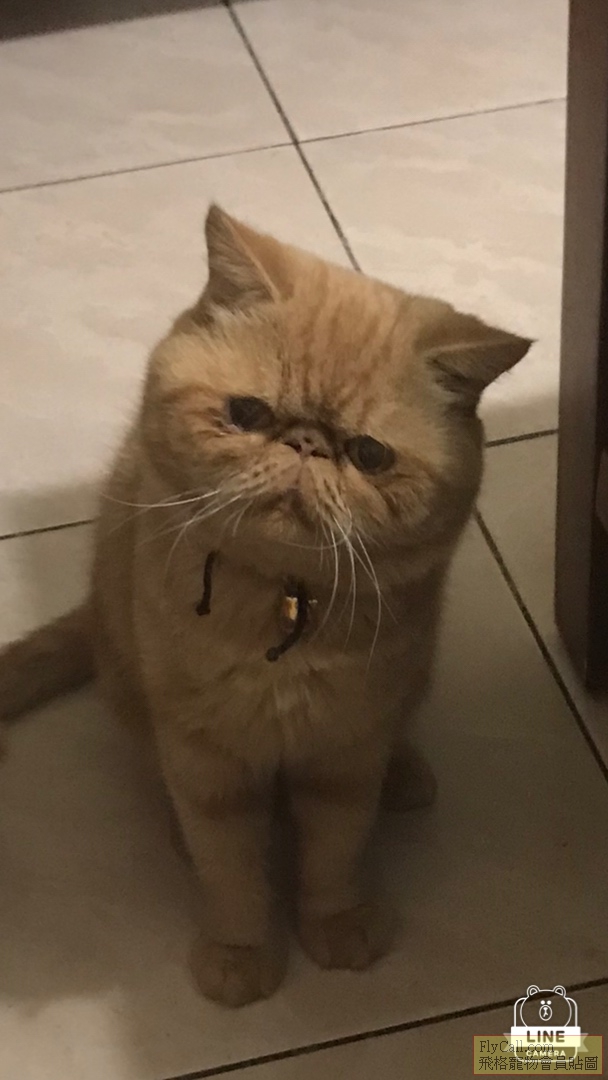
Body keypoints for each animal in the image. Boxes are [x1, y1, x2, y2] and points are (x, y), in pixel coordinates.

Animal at [0, 204, 531, 1006]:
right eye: (246, 413)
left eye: (369, 455)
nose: (306, 443)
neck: (280, 609)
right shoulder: (207, 760)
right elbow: (231, 869)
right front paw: (241, 953)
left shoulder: (345, 752)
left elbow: (336, 853)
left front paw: (336, 925)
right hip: (134, 695)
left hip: (410, 685)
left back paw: (405, 774)